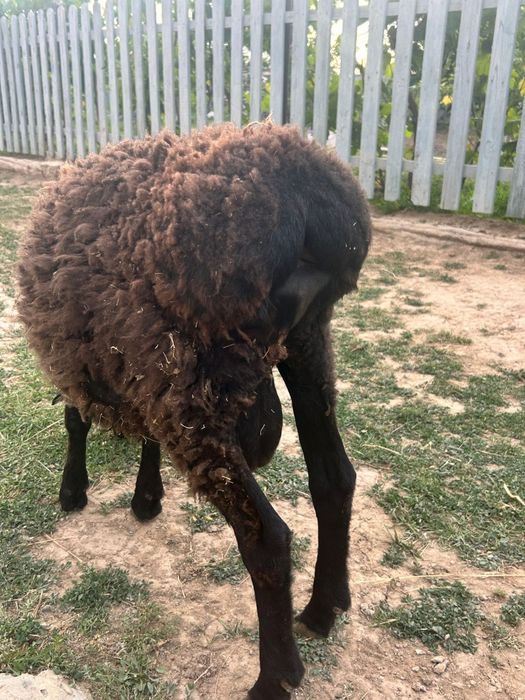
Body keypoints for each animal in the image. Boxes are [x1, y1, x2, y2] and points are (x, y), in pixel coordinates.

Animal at [16, 122, 372, 699]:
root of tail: (305, 201)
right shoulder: (140, 365)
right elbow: (141, 434)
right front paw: (146, 497)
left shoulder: (99, 359)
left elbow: (75, 416)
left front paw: (74, 491)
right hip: (303, 346)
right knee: (334, 478)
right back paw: (324, 609)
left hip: (200, 398)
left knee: (267, 537)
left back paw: (275, 677)